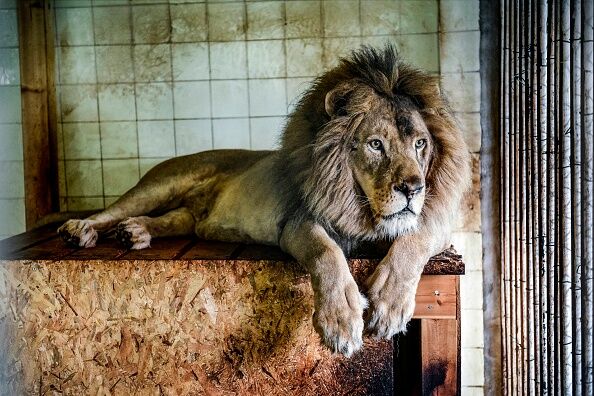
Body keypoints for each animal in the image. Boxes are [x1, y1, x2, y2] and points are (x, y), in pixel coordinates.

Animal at [59, 45, 468, 356]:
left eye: (421, 144)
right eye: (376, 144)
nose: (413, 189)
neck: (363, 209)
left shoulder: (435, 225)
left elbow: (413, 240)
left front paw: (389, 303)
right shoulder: (298, 222)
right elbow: (326, 253)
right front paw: (341, 320)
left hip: (186, 217)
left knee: (168, 219)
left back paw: (136, 233)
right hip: (159, 185)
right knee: (112, 210)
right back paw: (81, 229)